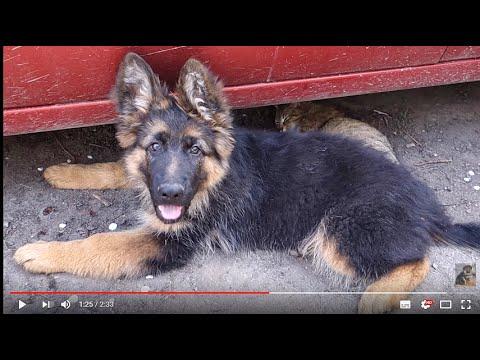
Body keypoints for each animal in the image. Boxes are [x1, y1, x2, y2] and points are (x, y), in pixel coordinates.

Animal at [13, 52, 478, 314]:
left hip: (341, 228)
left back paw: (373, 300)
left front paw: (42, 251)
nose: (169, 195)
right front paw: (64, 171)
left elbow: (100, 243)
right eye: (154, 146)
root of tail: (428, 208)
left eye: (196, 150)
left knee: (417, 261)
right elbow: (116, 167)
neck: (213, 179)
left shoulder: (170, 240)